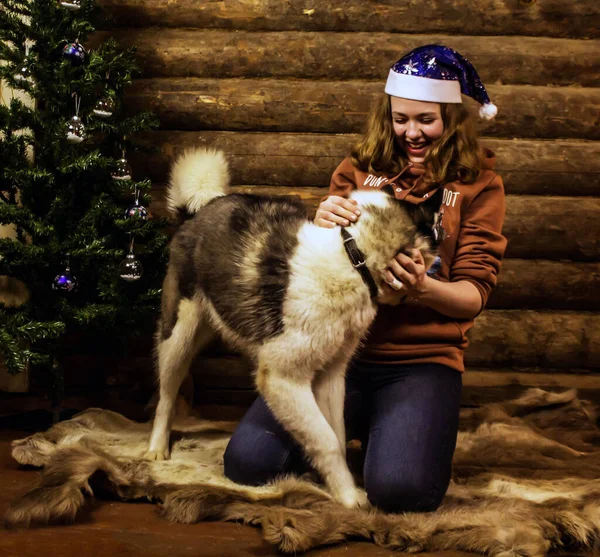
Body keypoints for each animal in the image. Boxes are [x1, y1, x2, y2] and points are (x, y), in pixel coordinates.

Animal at [147, 149, 442, 508]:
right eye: (436, 227)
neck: (353, 257)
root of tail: (197, 210)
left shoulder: (330, 376)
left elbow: (336, 436)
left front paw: (334, 482)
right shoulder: (282, 379)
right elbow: (326, 439)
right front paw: (348, 497)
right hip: (178, 335)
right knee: (166, 395)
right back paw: (157, 448)